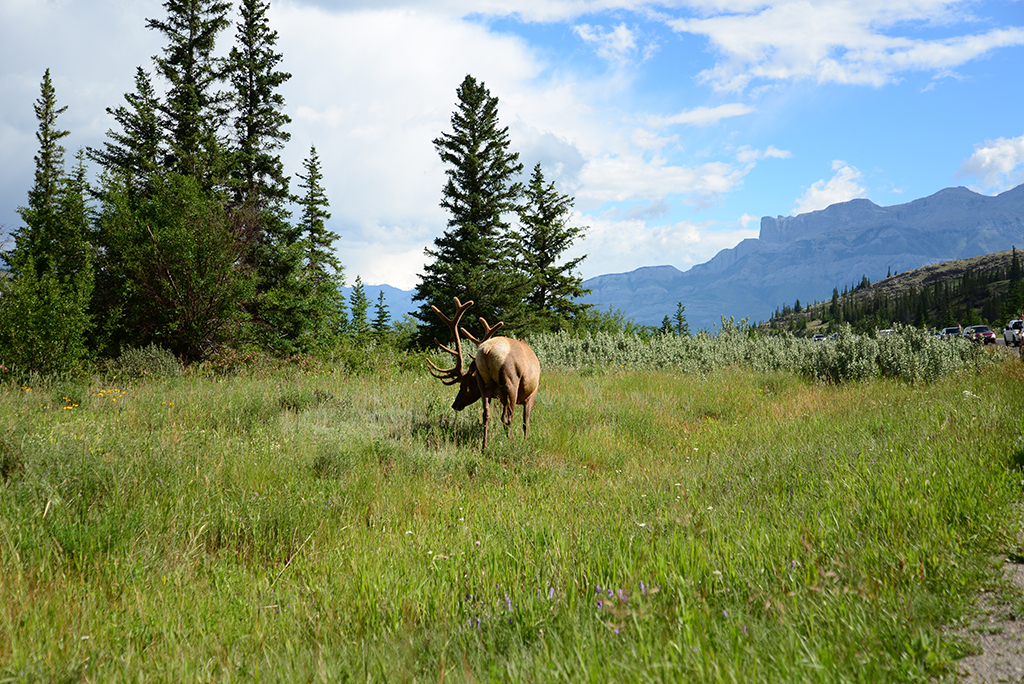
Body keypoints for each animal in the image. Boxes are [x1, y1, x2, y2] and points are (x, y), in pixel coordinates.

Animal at [425, 294, 540, 446]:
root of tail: (487, 349)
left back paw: (484, 446)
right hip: (510, 382)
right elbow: (526, 422)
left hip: (484, 382)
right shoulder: (531, 394)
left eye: (464, 386)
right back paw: (511, 443)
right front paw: (526, 442)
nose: (455, 404)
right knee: (508, 417)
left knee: (486, 414)